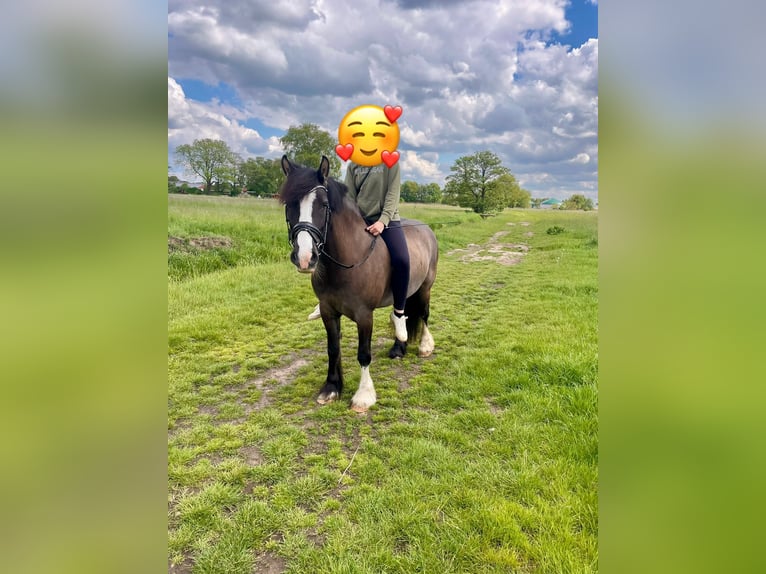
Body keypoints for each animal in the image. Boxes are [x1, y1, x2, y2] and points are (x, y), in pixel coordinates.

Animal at [279, 155, 438, 413]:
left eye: (324, 205)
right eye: (289, 204)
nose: (305, 258)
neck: (347, 262)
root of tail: (426, 229)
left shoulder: (364, 315)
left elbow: (364, 354)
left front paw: (363, 396)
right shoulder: (328, 311)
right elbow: (333, 348)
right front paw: (331, 387)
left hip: (425, 288)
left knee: (423, 315)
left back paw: (425, 346)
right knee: (403, 314)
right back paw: (399, 347)